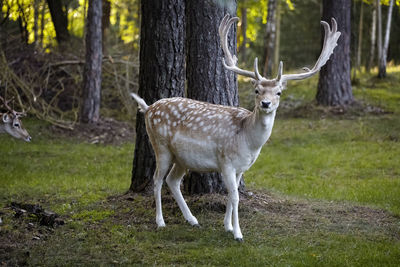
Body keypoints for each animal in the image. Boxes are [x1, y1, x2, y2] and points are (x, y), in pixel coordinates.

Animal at [131, 14, 340, 242]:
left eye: (279, 93)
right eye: (257, 90)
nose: (265, 103)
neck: (248, 141)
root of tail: (149, 108)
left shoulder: (241, 167)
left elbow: (232, 197)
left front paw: (228, 227)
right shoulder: (226, 162)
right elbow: (236, 197)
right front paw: (238, 234)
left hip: (182, 158)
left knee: (172, 180)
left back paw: (193, 220)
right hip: (160, 145)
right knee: (157, 179)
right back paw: (160, 222)